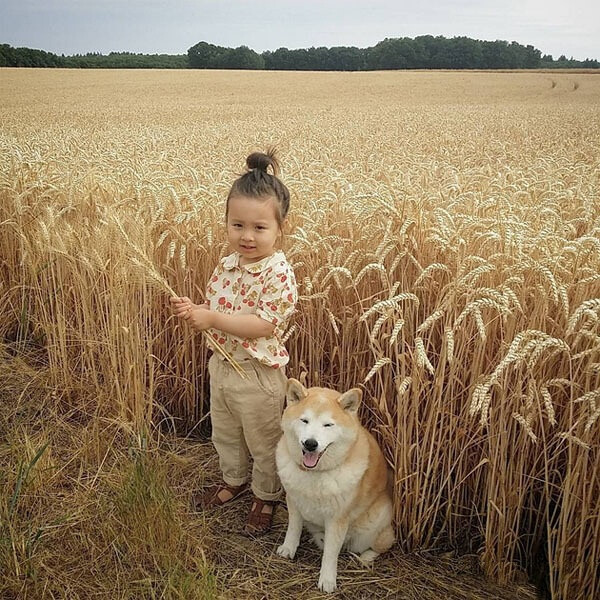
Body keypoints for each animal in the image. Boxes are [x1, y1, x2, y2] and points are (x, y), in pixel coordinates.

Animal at [274, 380, 396, 592]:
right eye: (304, 421)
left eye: (328, 425)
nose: (310, 443)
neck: (315, 473)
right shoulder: (294, 502)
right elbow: (293, 529)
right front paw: (288, 549)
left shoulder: (337, 519)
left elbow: (331, 554)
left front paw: (327, 579)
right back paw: (319, 539)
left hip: (378, 520)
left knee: (380, 545)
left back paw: (365, 558)